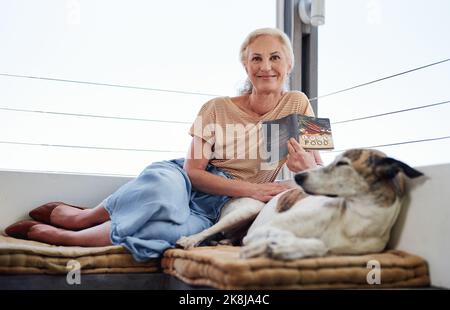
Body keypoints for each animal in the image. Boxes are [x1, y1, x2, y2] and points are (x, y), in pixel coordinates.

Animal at [175, 149, 422, 260]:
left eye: (342, 164)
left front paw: (286, 247)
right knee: (209, 230)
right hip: (248, 210)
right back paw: (190, 240)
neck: (351, 221)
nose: (299, 177)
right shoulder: (266, 229)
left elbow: (320, 246)